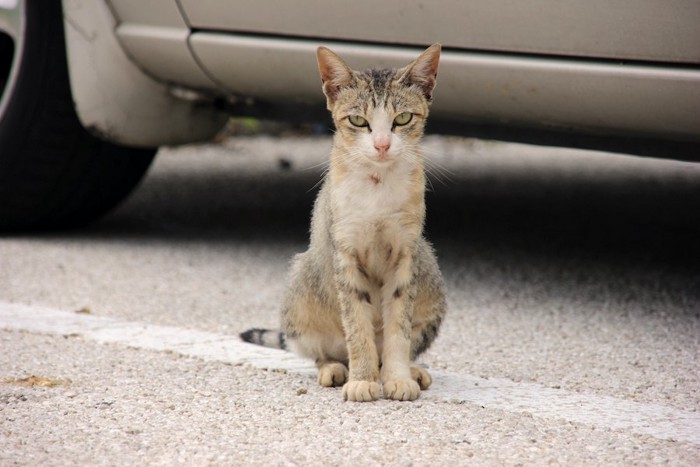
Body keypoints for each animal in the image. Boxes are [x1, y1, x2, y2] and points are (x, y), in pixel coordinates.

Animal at [243, 44, 446, 402]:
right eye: (358, 120)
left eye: (402, 119)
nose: (382, 144)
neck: (378, 184)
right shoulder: (345, 254)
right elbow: (357, 326)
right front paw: (362, 380)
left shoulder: (406, 255)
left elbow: (399, 327)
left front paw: (397, 377)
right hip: (302, 283)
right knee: (322, 351)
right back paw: (336, 369)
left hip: (430, 272)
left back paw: (410, 370)